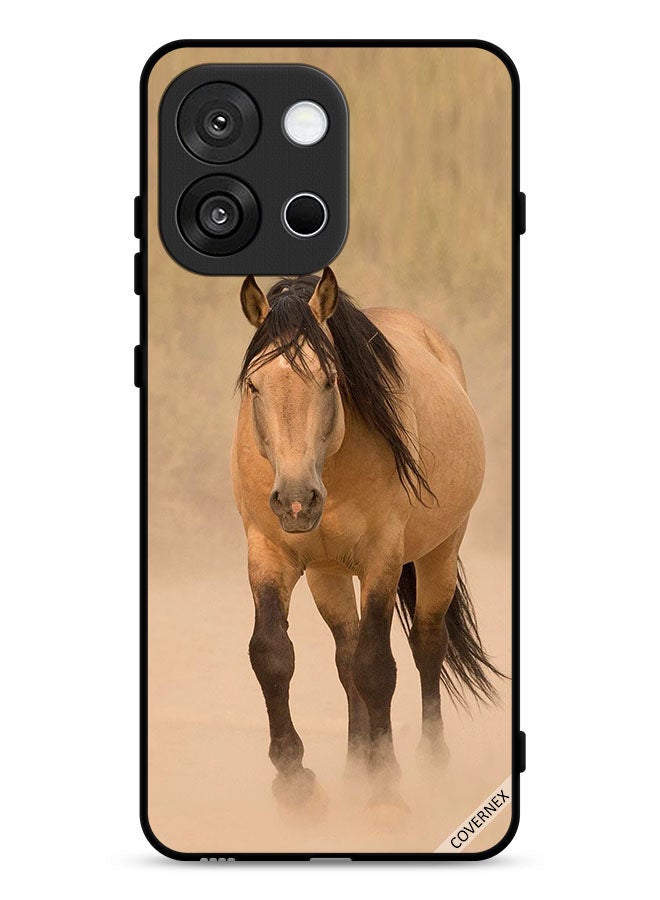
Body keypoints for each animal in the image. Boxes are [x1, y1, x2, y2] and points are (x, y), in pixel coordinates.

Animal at [231, 267, 500, 817]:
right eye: (254, 385)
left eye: (330, 379)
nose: (296, 501)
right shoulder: (269, 552)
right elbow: (272, 654)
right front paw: (295, 780)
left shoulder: (382, 560)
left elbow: (378, 667)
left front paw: (386, 788)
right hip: (327, 574)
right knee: (345, 655)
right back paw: (356, 767)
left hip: (440, 552)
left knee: (425, 645)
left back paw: (429, 763)